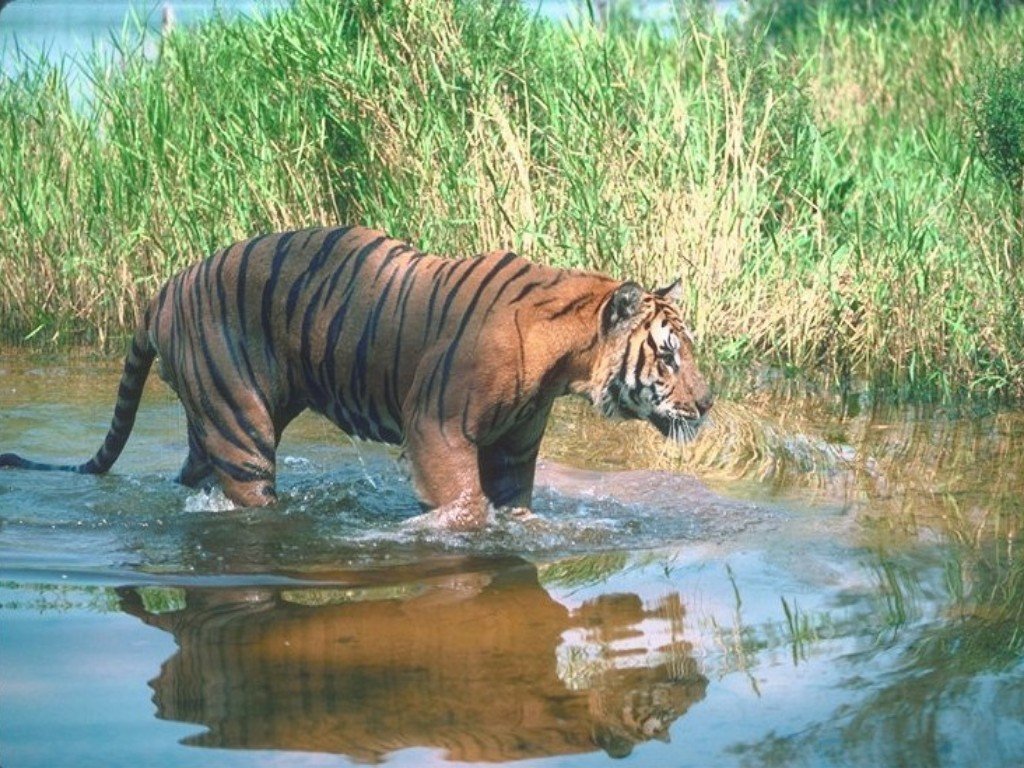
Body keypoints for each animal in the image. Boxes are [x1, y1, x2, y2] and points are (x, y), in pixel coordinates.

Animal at [0, 225, 712, 532]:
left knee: (190, 477)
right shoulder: (437, 429)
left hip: (217, 421)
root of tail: (163, 292)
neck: (565, 361)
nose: (708, 404)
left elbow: (515, 504)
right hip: (242, 426)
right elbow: (464, 503)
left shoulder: (514, 446)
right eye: (669, 357)